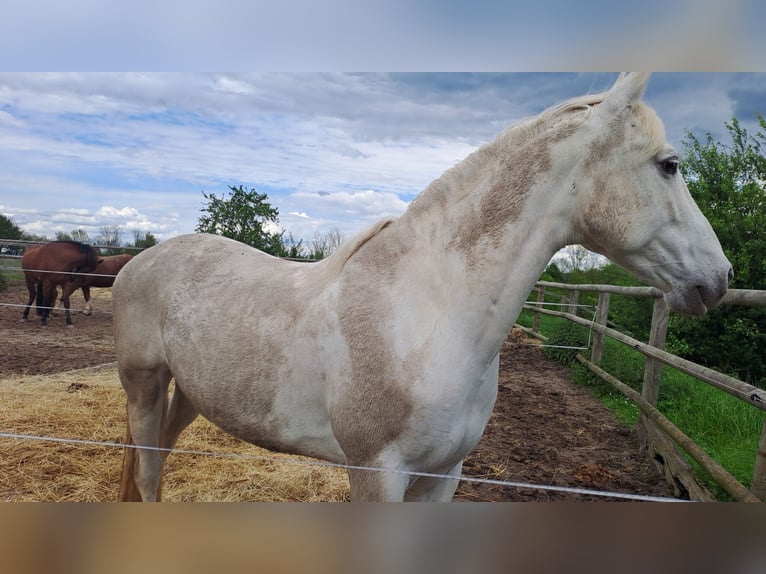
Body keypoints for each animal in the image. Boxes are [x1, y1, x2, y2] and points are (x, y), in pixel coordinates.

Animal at [114, 73, 732, 502]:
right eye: (669, 165)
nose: (719, 279)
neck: (430, 318)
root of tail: (139, 262)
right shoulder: (377, 473)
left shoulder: (443, 475)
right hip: (144, 384)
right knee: (148, 475)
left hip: (191, 393)